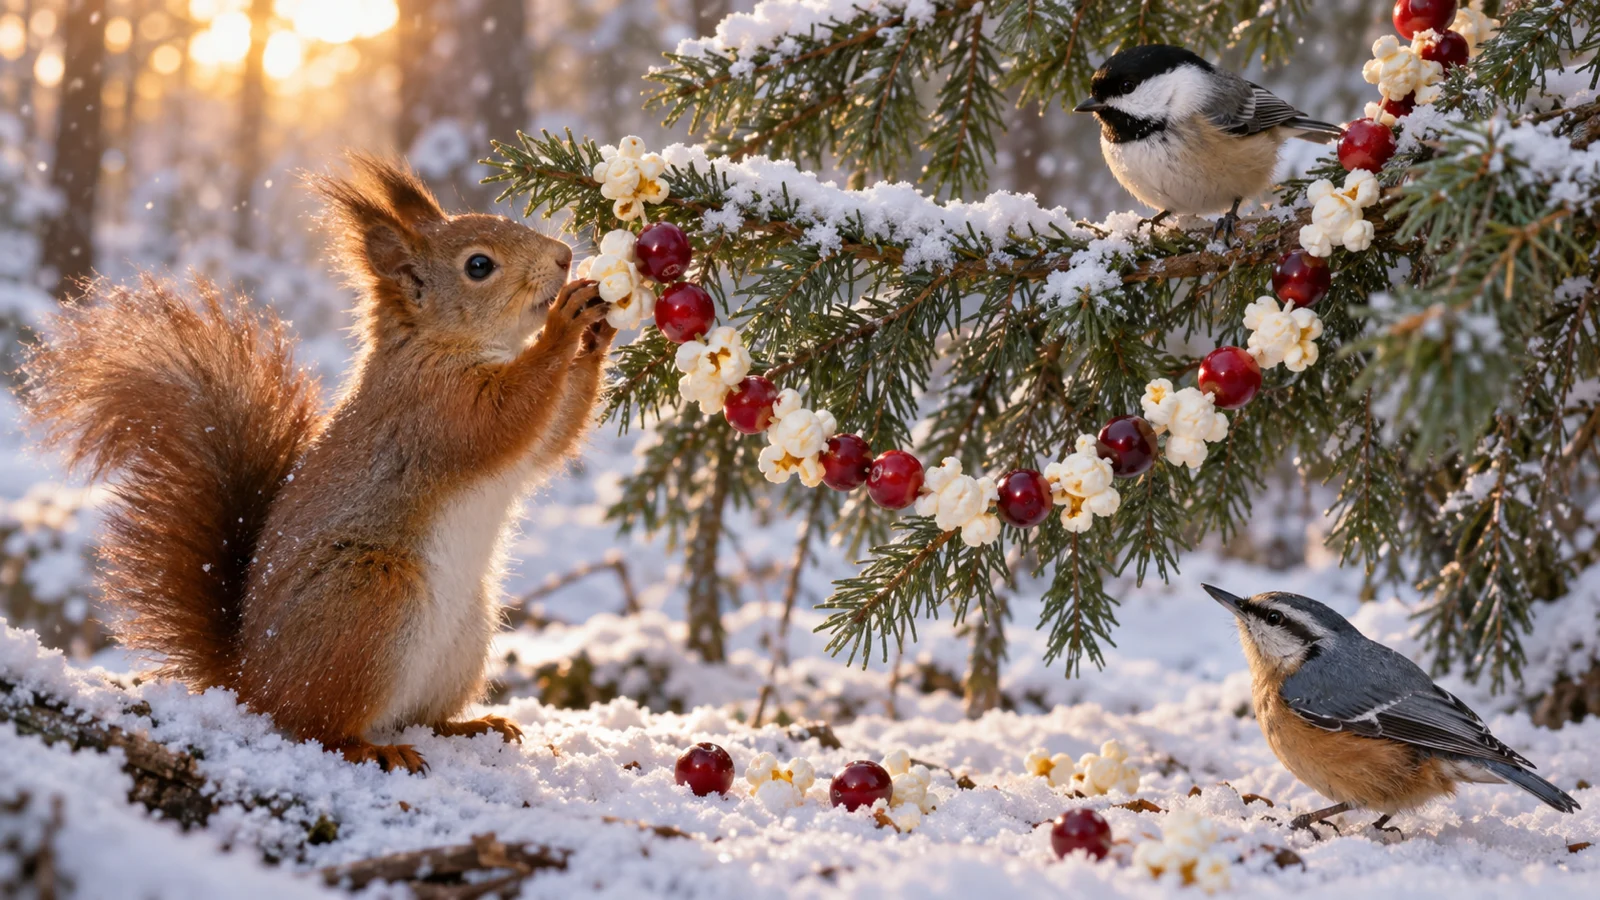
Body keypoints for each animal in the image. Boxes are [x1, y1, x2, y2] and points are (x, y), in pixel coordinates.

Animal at [20, 156, 616, 773]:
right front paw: (564, 328)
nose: (564, 257)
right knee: (319, 726)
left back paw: (473, 725)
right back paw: (377, 749)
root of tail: (251, 681)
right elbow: (506, 419)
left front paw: (599, 333)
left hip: (464, 636)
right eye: (479, 265)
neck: (439, 344)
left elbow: (552, 436)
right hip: (368, 599)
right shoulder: (433, 409)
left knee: (420, 716)